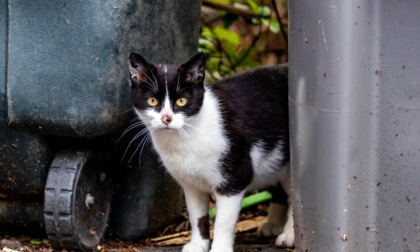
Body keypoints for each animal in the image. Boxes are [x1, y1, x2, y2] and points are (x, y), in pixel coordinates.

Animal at [126, 51, 294, 252]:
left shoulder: (235, 177)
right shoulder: (191, 184)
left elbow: (223, 220)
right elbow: (196, 216)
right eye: (152, 100)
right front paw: (197, 244)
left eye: (182, 101)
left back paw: (289, 234)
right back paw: (273, 224)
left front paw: (220, 248)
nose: (166, 118)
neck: (187, 137)